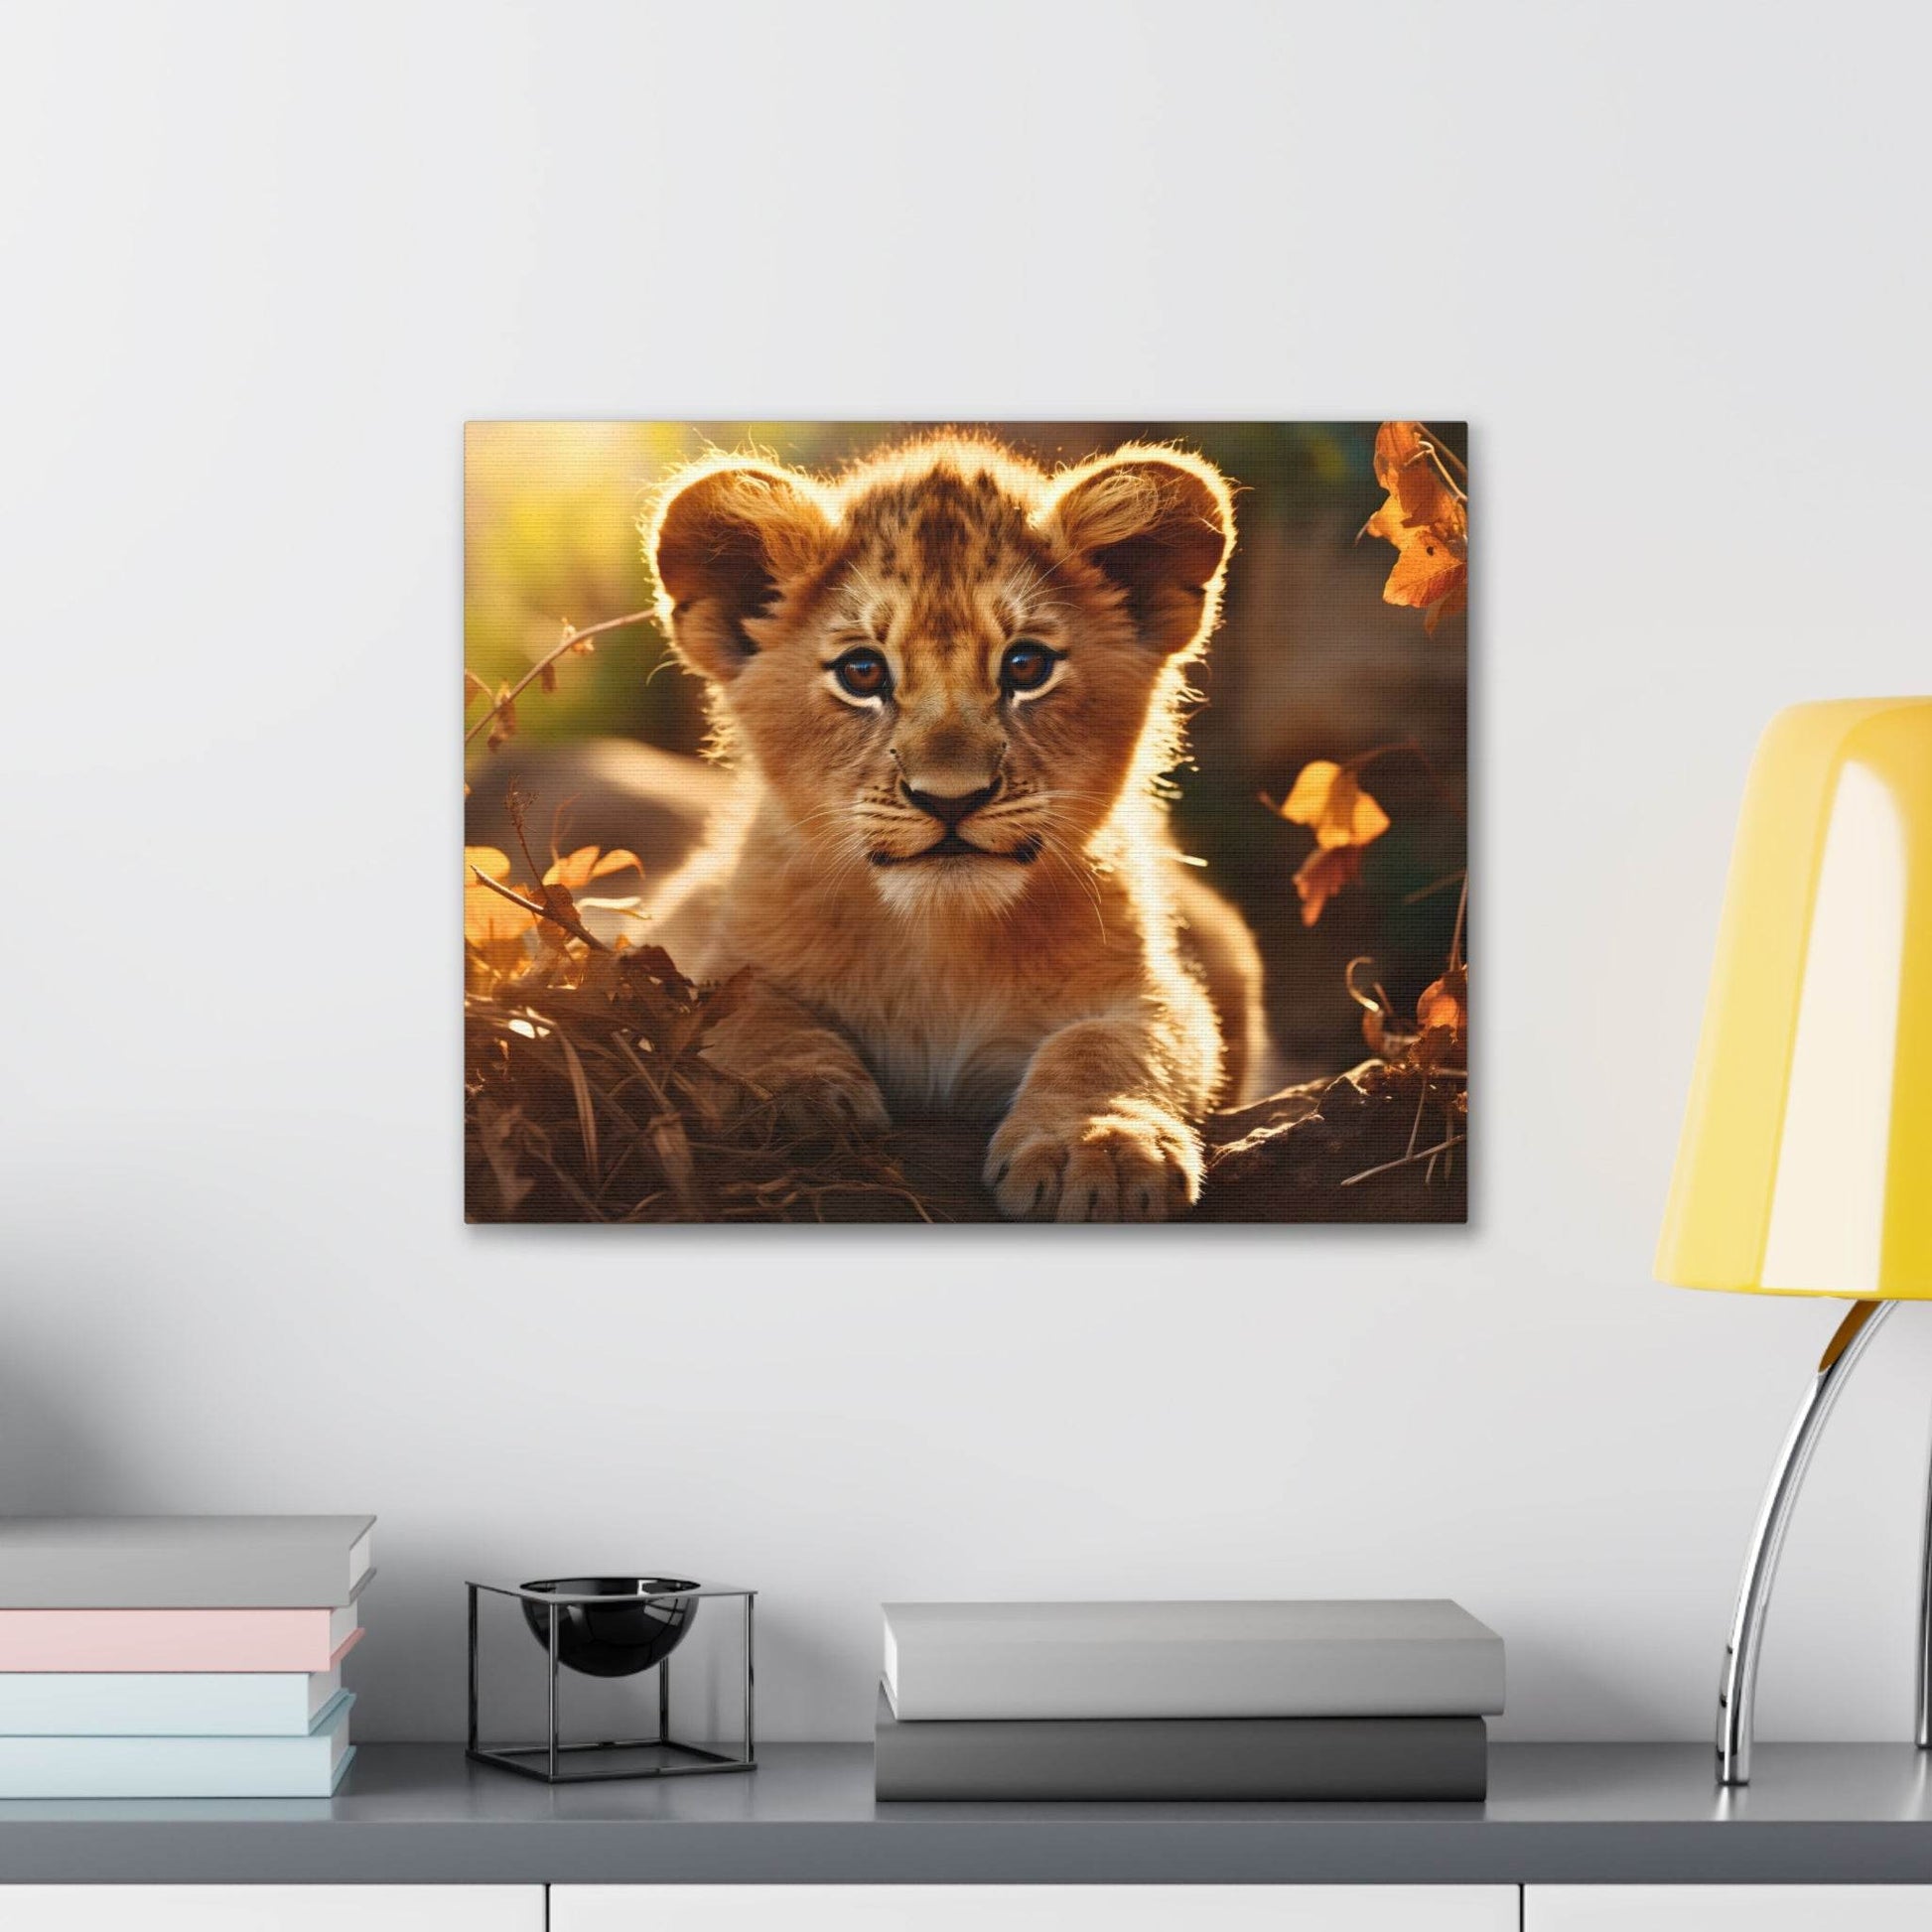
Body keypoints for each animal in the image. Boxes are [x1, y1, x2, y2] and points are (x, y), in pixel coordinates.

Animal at [643, 432, 1268, 1222]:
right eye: (862, 672)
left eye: (1026, 665)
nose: (949, 799)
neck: (939, 944)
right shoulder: (698, 946)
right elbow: (740, 1007)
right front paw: (790, 1097)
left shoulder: (1156, 987)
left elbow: (1112, 1044)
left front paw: (1098, 1145)